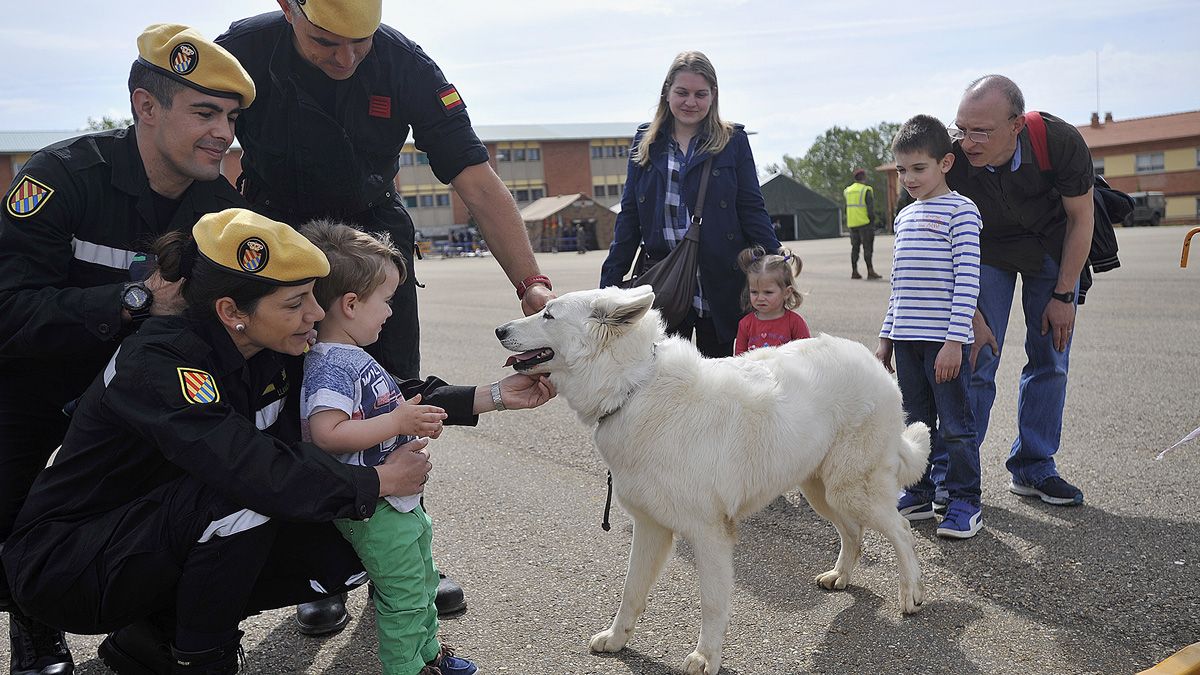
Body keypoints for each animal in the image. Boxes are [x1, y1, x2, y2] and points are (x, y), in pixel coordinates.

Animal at [496, 284, 926, 672]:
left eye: (548, 315)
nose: (500, 330)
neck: (633, 388)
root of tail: (873, 362)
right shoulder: (651, 527)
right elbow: (631, 591)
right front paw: (617, 639)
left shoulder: (710, 534)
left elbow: (712, 603)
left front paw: (706, 658)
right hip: (821, 488)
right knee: (853, 532)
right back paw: (841, 576)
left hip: (851, 488)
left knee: (900, 529)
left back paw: (911, 593)